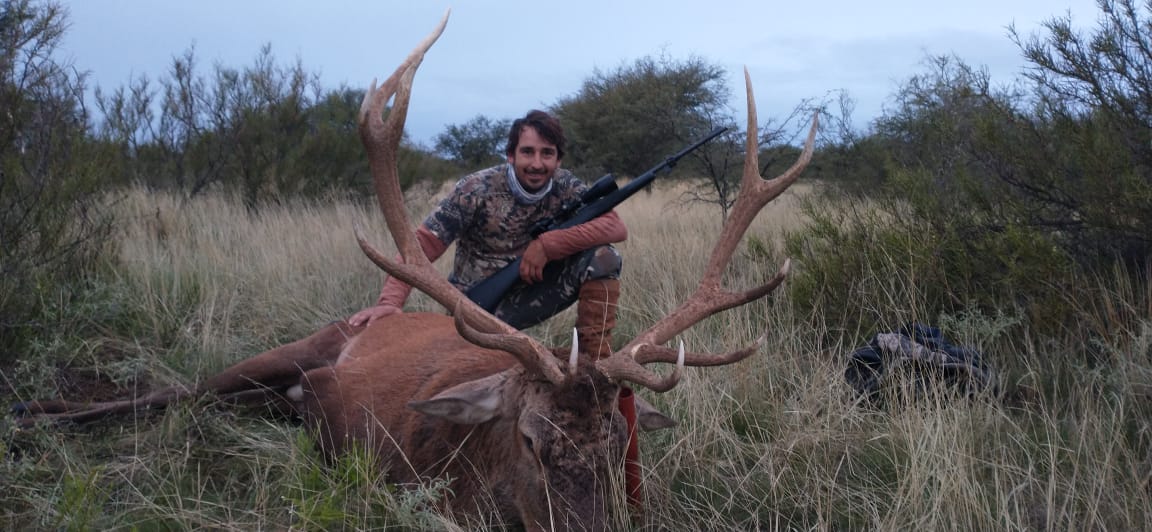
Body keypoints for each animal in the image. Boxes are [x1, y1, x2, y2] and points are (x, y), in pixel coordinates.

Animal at [11, 9, 820, 532]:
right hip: (289, 349)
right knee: (175, 392)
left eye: (619, 446)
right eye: (530, 439)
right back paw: (34, 413)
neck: (472, 471)